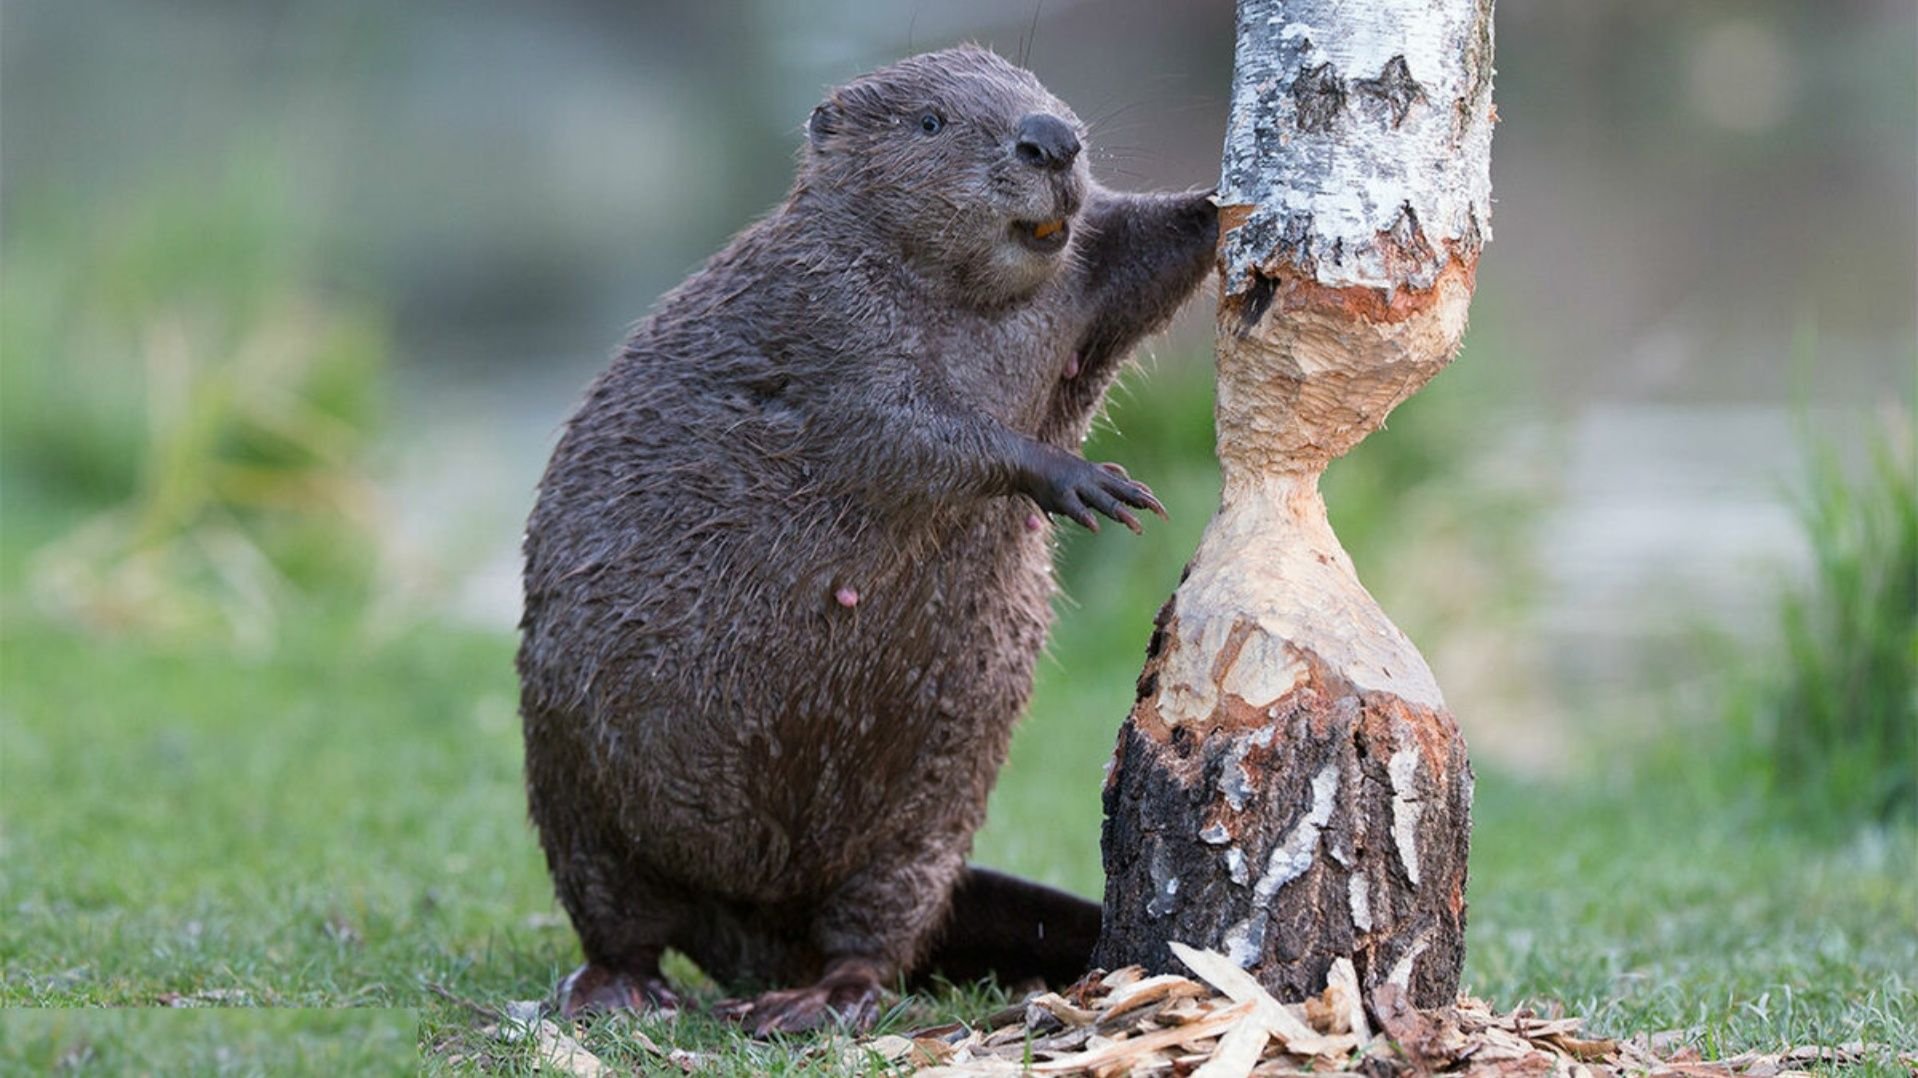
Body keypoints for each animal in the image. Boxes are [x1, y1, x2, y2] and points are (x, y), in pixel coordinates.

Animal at [521, 44, 1212, 1035]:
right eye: (930, 120)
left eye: (1037, 87)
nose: (1052, 139)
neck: (964, 297)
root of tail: (754, 923)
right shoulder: (822, 313)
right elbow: (901, 429)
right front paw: (1086, 482)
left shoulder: (1084, 277)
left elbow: (1144, 252)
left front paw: (1232, 202)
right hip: (576, 787)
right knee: (617, 915)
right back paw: (628, 994)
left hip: (921, 825)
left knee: (874, 935)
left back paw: (815, 1000)